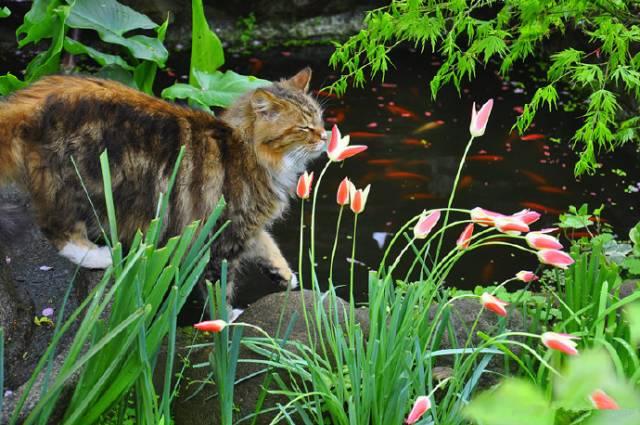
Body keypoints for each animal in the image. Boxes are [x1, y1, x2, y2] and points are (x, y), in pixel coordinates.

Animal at [0, 67, 328, 298]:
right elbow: (220, 291)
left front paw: (284, 274)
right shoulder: (220, 234)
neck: (246, 150)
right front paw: (226, 329)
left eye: (320, 120)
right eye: (304, 127)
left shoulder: (247, 225)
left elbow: (268, 245)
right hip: (81, 184)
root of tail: (29, 100)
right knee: (55, 227)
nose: (326, 136)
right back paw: (97, 256)